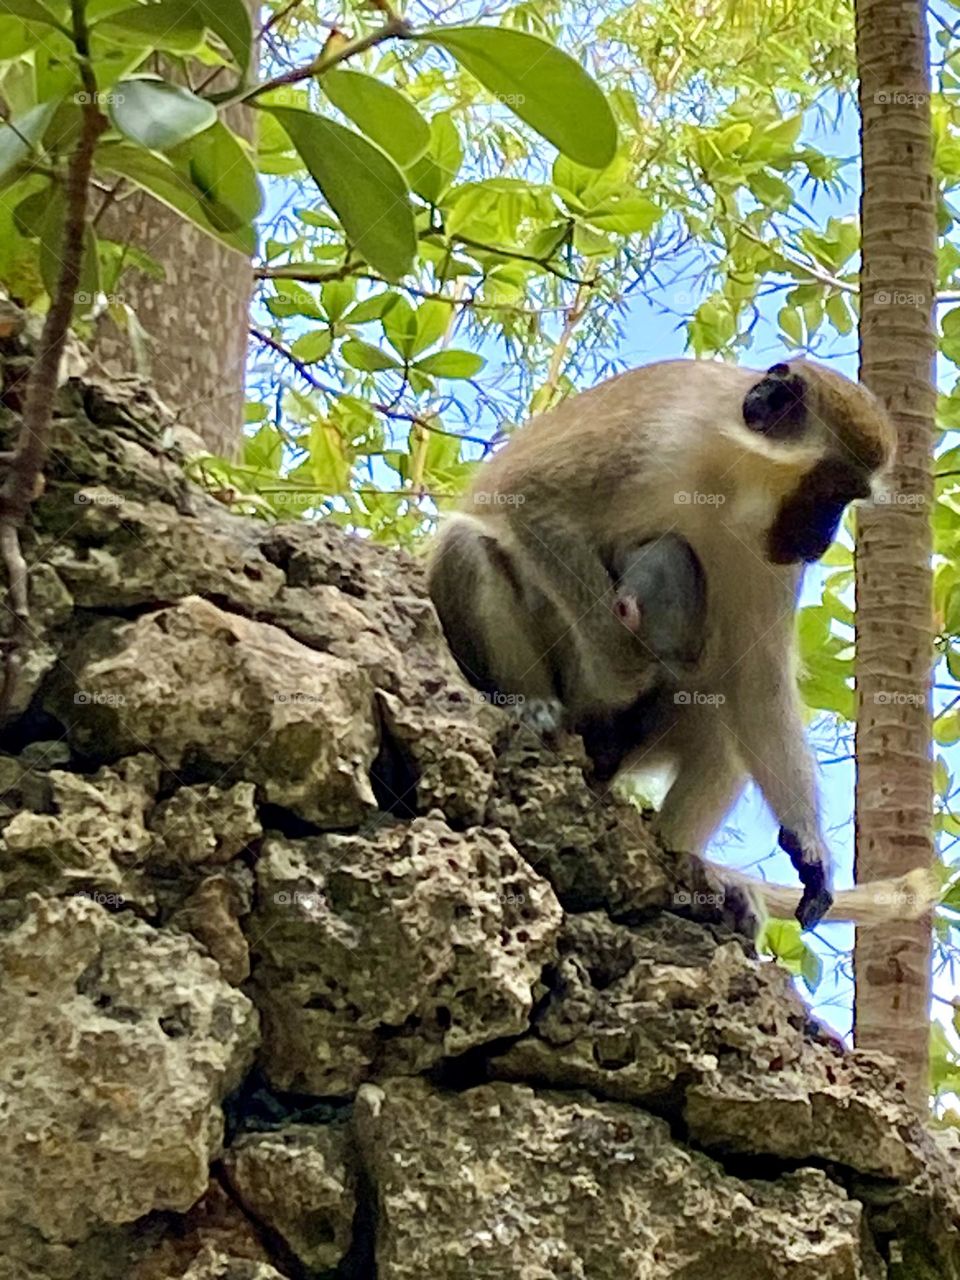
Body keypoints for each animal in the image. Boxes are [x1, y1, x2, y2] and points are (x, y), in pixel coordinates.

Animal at [430, 360, 942, 931]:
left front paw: (811, 853)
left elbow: (755, 680)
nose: (823, 539)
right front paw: (619, 668)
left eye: (846, 500)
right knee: (467, 546)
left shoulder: (769, 555)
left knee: (721, 720)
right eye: (830, 492)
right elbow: (530, 499)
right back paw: (534, 706)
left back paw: (684, 864)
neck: (728, 476)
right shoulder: (656, 432)